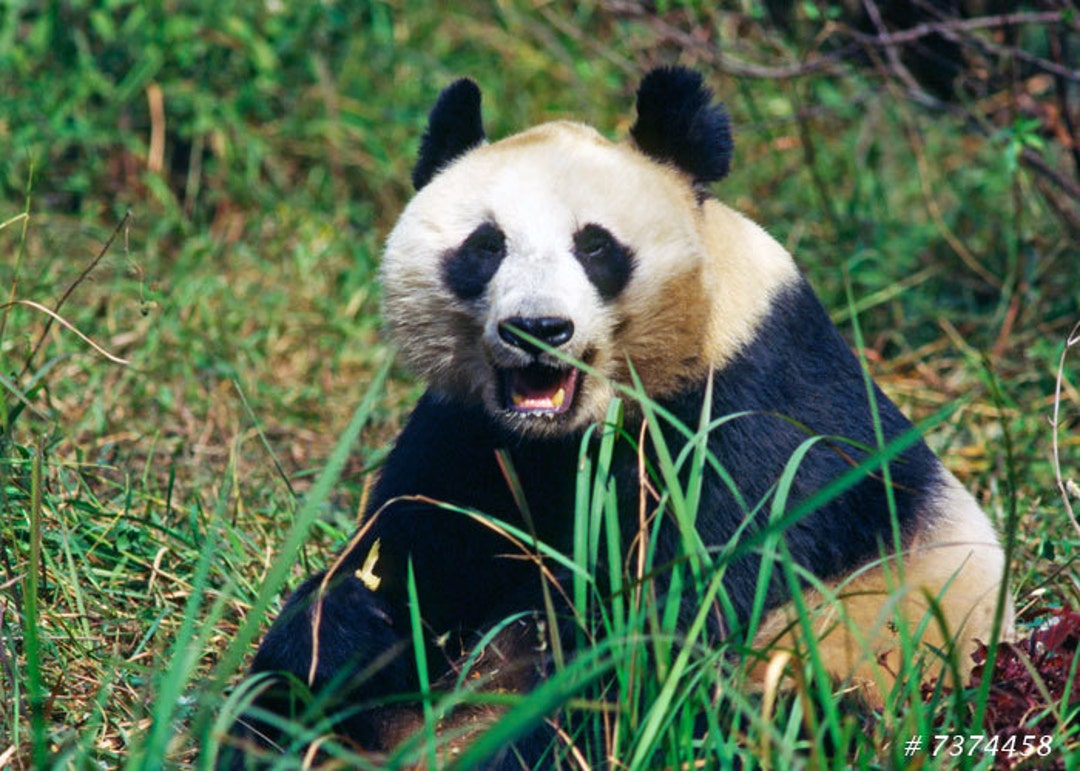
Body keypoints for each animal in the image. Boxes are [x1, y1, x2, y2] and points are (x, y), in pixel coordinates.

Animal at [220, 67, 1012, 767]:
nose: (538, 328)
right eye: (486, 246)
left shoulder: (751, 411)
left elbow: (663, 627)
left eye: (596, 246)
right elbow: (408, 553)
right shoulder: (468, 431)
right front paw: (342, 628)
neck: (567, 432)